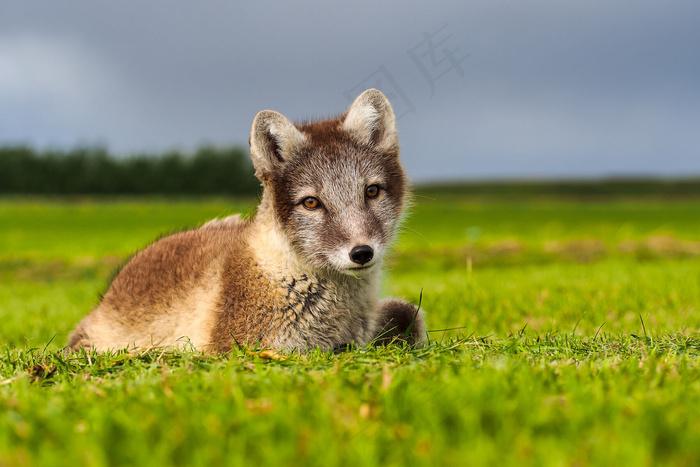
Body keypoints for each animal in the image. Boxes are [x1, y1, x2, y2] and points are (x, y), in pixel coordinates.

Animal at [68, 89, 424, 352]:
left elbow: (411, 314)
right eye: (311, 202)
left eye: (372, 191)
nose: (361, 253)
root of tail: (108, 294)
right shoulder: (243, 348)